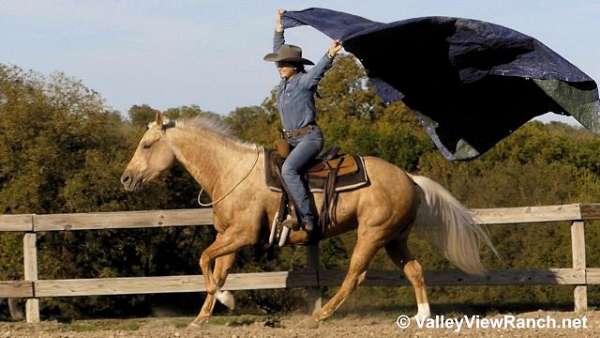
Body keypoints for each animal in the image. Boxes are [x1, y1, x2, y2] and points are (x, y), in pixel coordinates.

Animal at [120, 114, 496, 328]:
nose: (126, 178)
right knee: (414, 270)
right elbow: (217, 269)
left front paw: (225, 301)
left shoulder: (242, 234)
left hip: (372, 235)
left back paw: (321, 315)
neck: (231, 171)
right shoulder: (229, 236)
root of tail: (409, 178)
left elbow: (204, 260)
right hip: (395, 238)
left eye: (147, 144)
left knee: (355, 276)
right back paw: (421, 316)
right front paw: (203, 317)